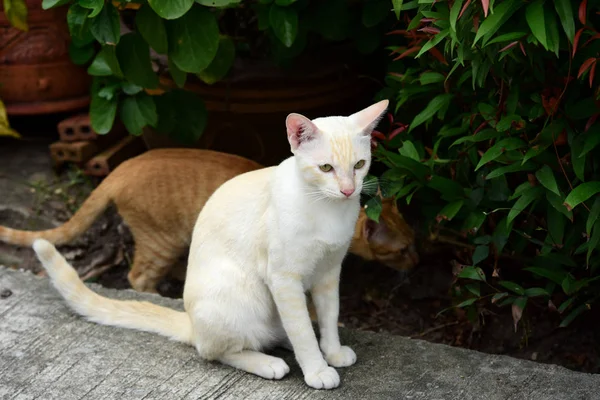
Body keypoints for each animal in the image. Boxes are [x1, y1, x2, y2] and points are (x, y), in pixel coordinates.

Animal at [0, 147, 418, 290]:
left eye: (415, 244)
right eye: (402, 251)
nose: (419, 261)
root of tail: (123, 165)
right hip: (161, 240)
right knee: (138, 277)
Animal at [32, 100, 390, 390]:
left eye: (359, 165)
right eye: (326, 168)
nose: (347, 190)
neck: (326, 209)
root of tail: (192, 322)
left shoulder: (329, 272)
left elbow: (329, 317)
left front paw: (331, 351)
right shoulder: (284, 278)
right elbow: (301, 331)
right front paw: (316, 369)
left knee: (278, 331)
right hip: (240, 297)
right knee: (216, 350)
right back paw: (269, 362)